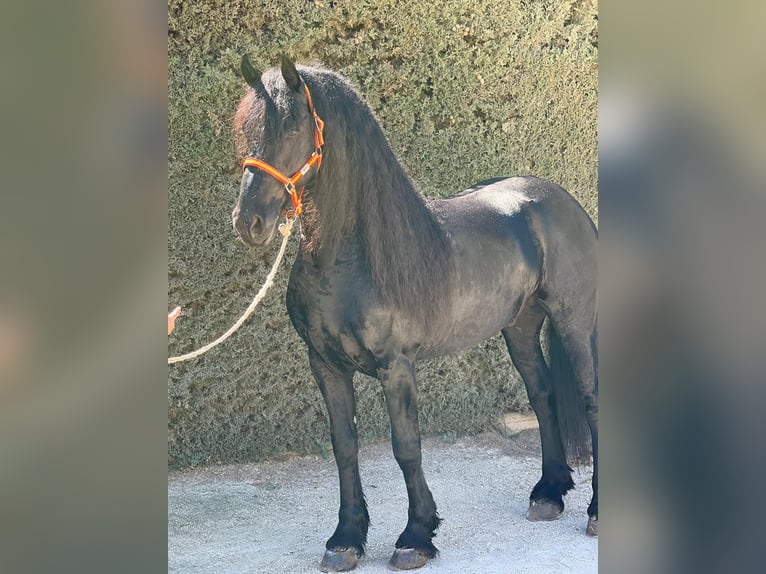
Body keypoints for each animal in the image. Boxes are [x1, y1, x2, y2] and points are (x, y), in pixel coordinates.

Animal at [234, 56, 600, 572]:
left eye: (292, 126)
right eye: (247, 128)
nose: (249, 222)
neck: (353, 259)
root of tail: (559, 199)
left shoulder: (396, 366)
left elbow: (406, 448)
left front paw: (416, 536)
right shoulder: (325, 365)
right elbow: (344, 446)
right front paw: (345, 539)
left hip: (574, 323)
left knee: (590, 399)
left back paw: (595, 512)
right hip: (520, 326)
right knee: (542, 393)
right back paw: (548, 494)